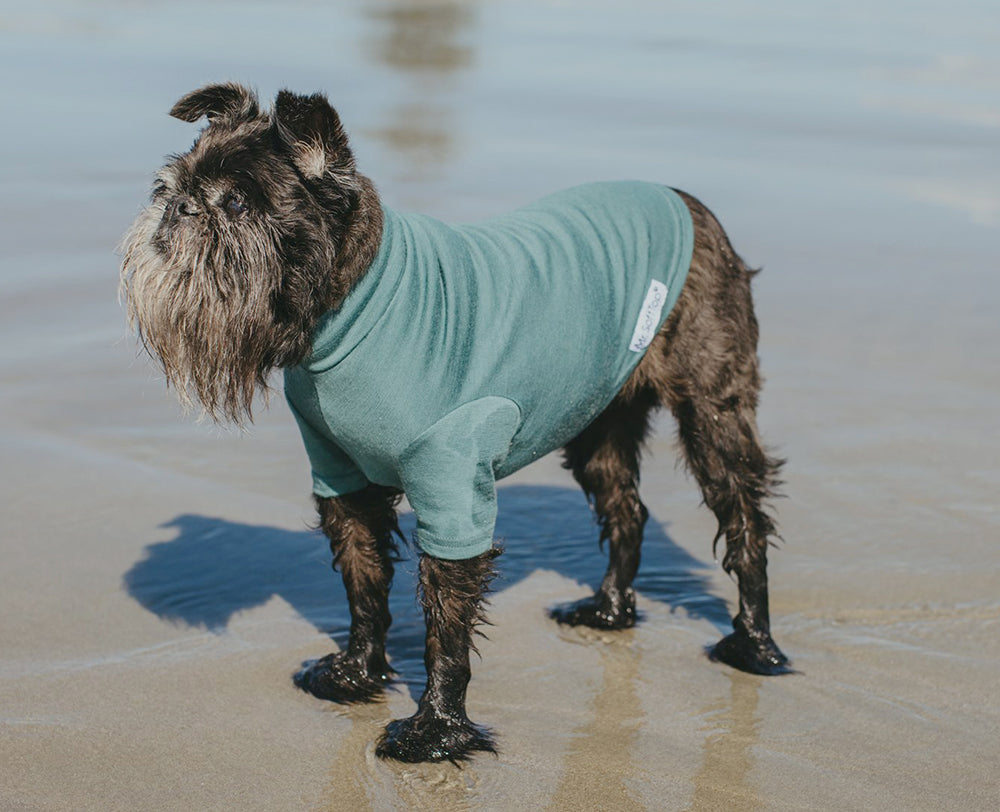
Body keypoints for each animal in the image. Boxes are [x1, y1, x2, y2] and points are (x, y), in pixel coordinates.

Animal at [121, 85, 788, 764]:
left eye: (234, 201)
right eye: (171, 185)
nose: (177, 206)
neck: (350, 308)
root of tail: (687, 202)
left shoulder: (451, 486)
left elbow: (445, 625)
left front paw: (434, 731)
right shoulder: (342, 479)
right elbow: (363, 583)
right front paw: (357, 674)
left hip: (712, 412)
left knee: (743, 517)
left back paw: (755, 645)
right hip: (600, 418)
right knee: (626, 508)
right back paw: (608, 612)